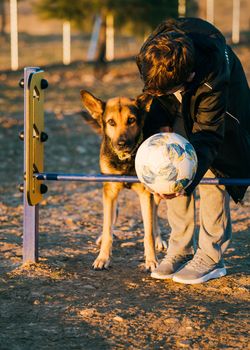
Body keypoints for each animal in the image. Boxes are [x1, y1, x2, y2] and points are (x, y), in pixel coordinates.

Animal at [80, 90, 167, 270]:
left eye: (131, 120)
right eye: (111, 122)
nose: (122, 143)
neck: (125, 159)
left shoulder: (145, 194)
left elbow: (148, 232)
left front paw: (151, 260)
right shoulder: (110, 191)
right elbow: (107, 226)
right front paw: (103, 257)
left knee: (154, 216)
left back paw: (159, 238)